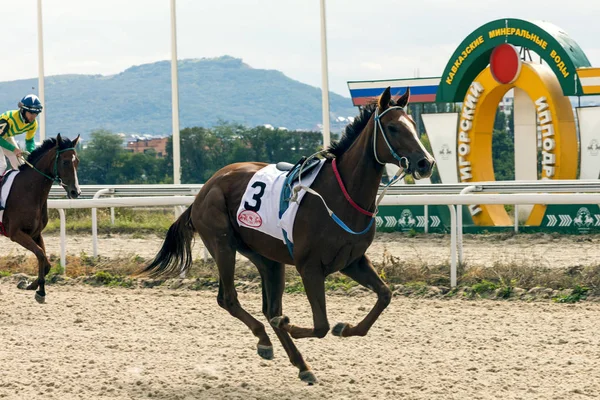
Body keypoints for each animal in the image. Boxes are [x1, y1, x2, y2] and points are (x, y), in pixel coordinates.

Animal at [1, 133, 81, 302]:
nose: (75, 192)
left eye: (77, 161)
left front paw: (28, 284)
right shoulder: (16, 233)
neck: (29, 191)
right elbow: (40, 254)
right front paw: (41, 291)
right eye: (65, 162)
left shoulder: (35, 233)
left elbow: (46, 262)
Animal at [139, 86, 434, 382]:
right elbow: (320, 325)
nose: (425, 163)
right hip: (222, 245)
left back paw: (300, 363)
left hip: (267, 258)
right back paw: (265, 340)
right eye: (393, 127)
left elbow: (384, 295)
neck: (342, 194)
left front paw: (345, 328)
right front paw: (291, 325)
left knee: (269, 307)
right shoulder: (310, 267)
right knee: (229, 299)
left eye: (413, 124)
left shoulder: (352, 261)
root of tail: (204, 190)